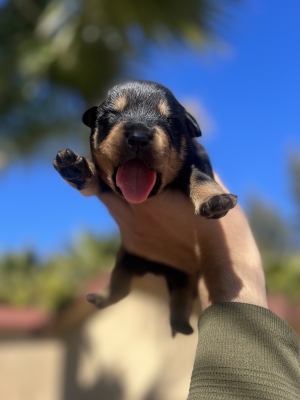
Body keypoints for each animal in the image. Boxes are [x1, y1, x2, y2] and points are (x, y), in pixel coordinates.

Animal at [53, 80, 237, 334]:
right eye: (111, 115)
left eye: (170, 120)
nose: (139, 137)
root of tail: (155, 270)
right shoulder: (103, 186)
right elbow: (92, 180)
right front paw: (76, 168)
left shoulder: (198, 156)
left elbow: (198, 175)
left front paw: (214, 198)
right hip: (126, 260)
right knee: (121, 287)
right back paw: (100, 298)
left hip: (184, 275)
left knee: (181, 296)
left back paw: (182, 325)